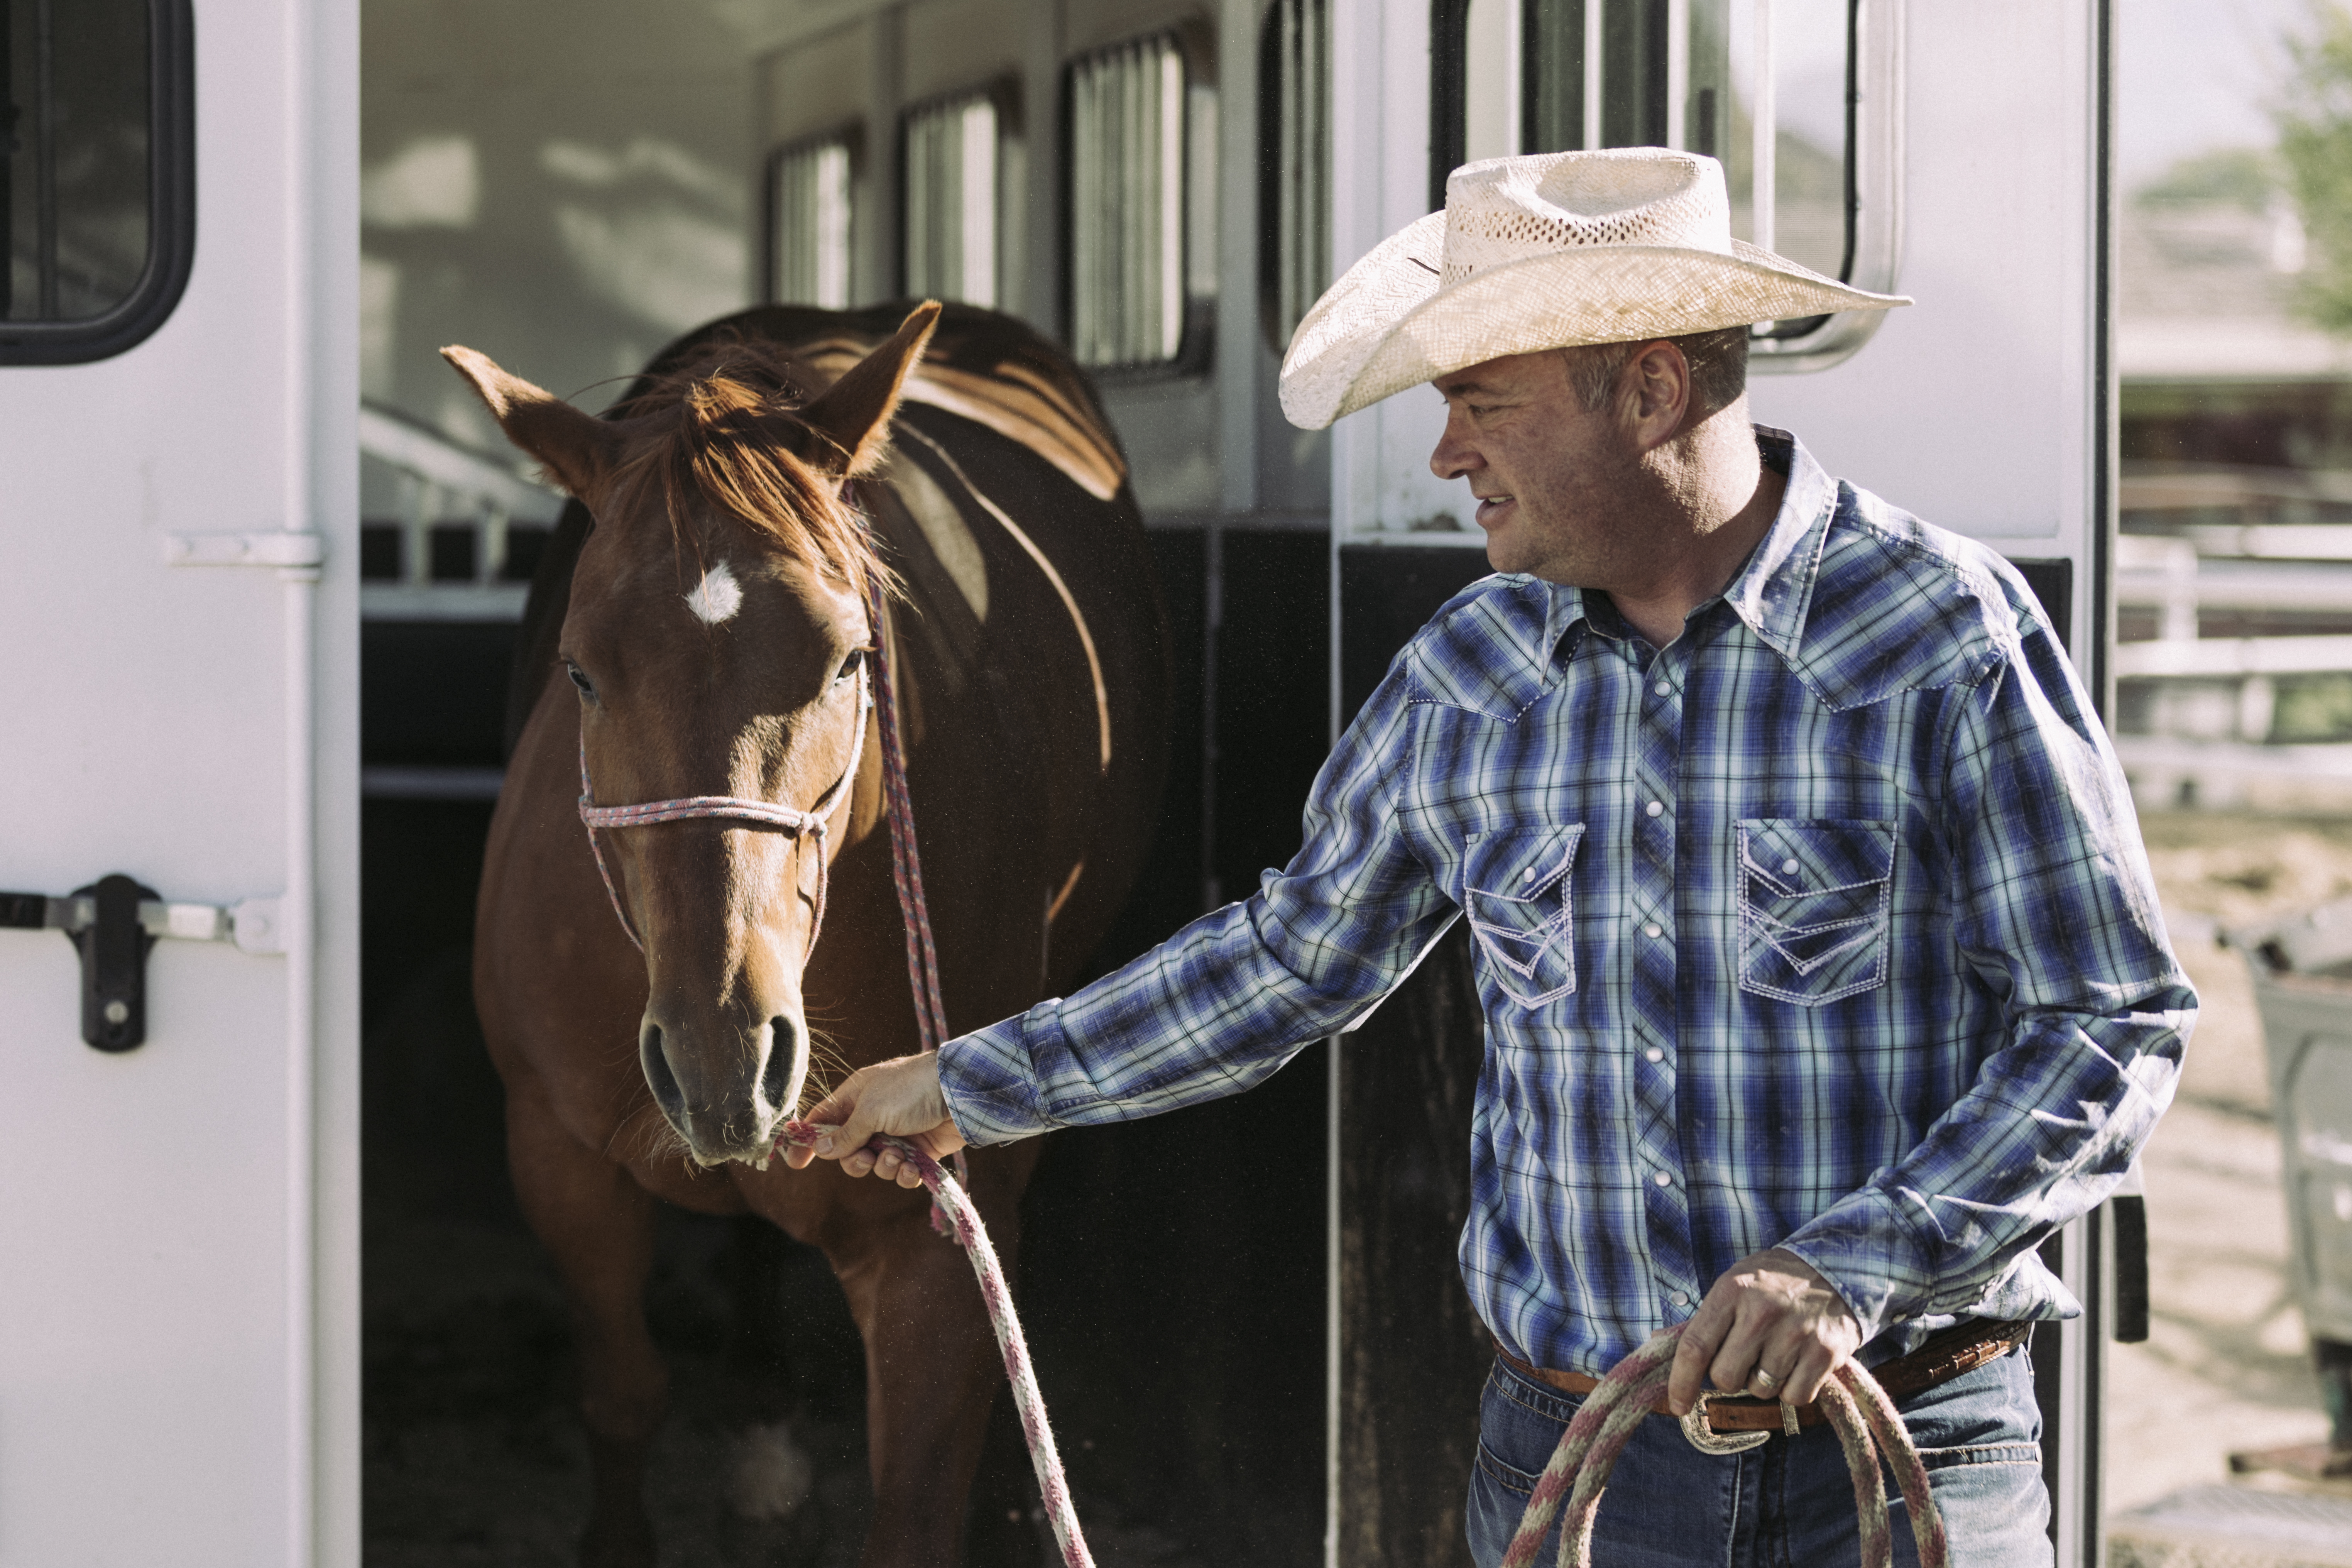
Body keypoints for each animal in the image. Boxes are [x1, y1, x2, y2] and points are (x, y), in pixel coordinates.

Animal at [442, 301, 1167, 1561]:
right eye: (580, 671)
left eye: (849, 658)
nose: (721, 1044)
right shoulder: (561, 1161)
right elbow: (622, 1394)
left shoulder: (932, 1238)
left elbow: (920, 1497)